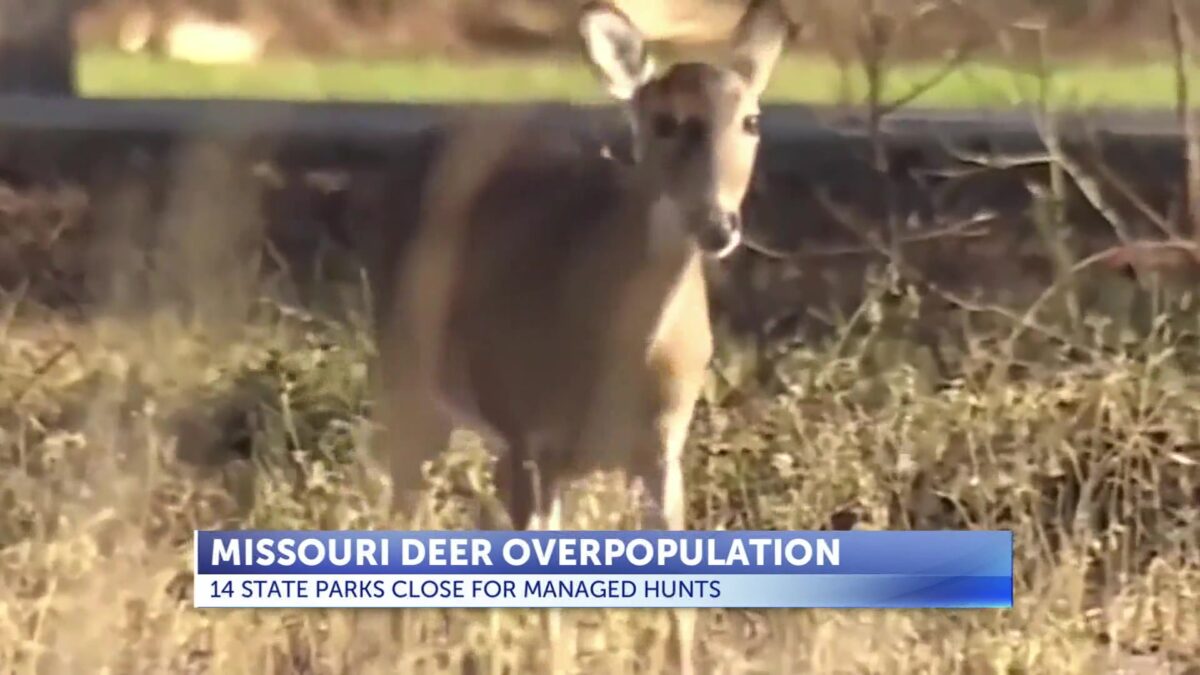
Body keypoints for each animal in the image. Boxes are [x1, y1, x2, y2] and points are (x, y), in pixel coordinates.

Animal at [372, 0, 793, 670]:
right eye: (665, 121)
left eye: (751, 119)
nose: (718, 225)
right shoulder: (530, 435)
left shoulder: (661, 448)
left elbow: (678, 605)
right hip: (410, 380)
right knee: (405, 513)